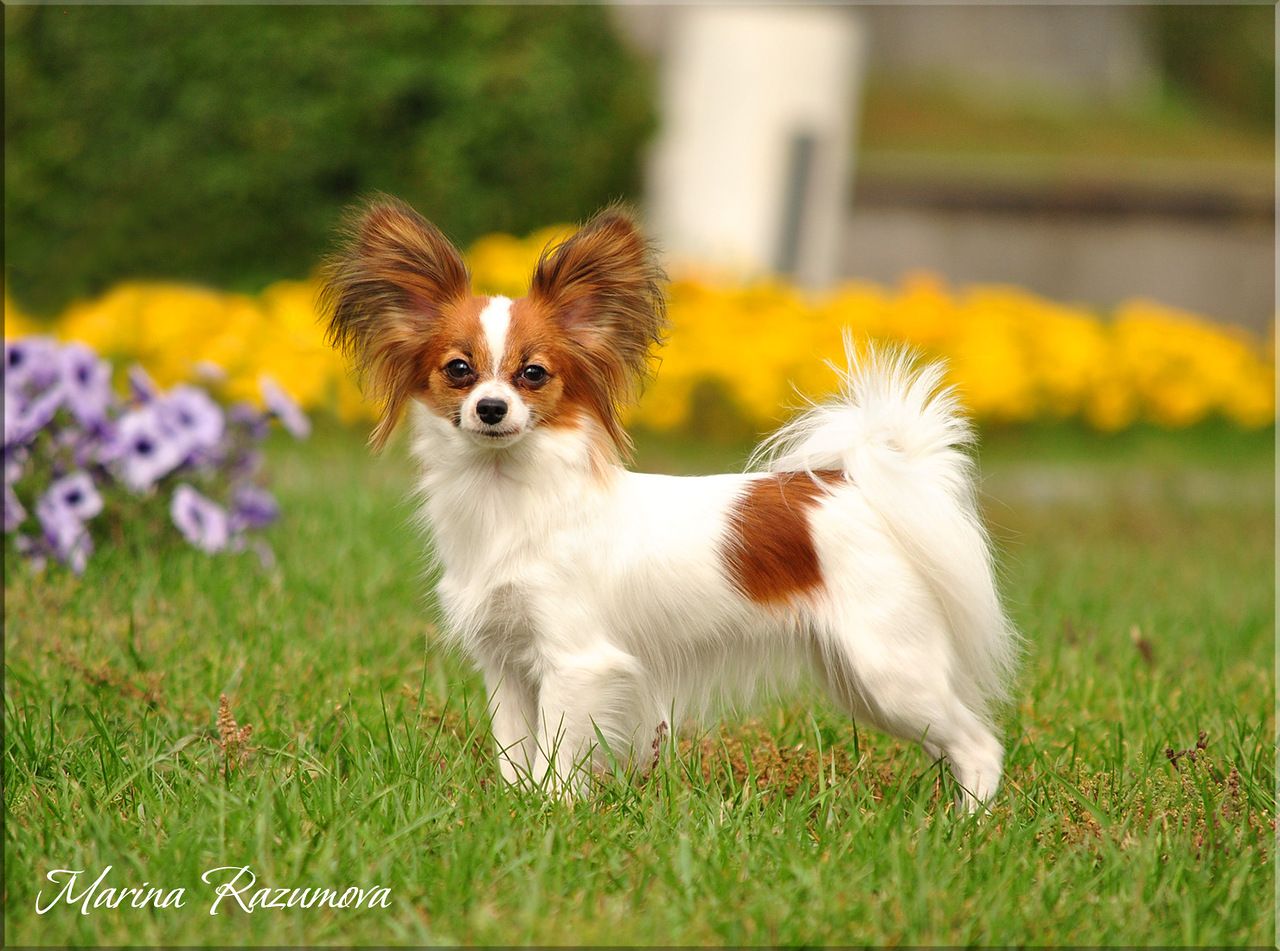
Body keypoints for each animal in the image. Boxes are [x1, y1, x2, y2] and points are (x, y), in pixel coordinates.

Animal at [320, 198, 1018, 808]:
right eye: (459, 370)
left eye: (533, 374)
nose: (491, 408)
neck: (508, 496)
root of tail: (858, 487)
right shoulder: (507, 664)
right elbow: (515, 755)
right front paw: (515, 812)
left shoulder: (577, 663)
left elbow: (555, 760)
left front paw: (550, 816)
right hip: (860, 680)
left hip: (889, 669)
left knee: (980, 746)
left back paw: (967, 831)